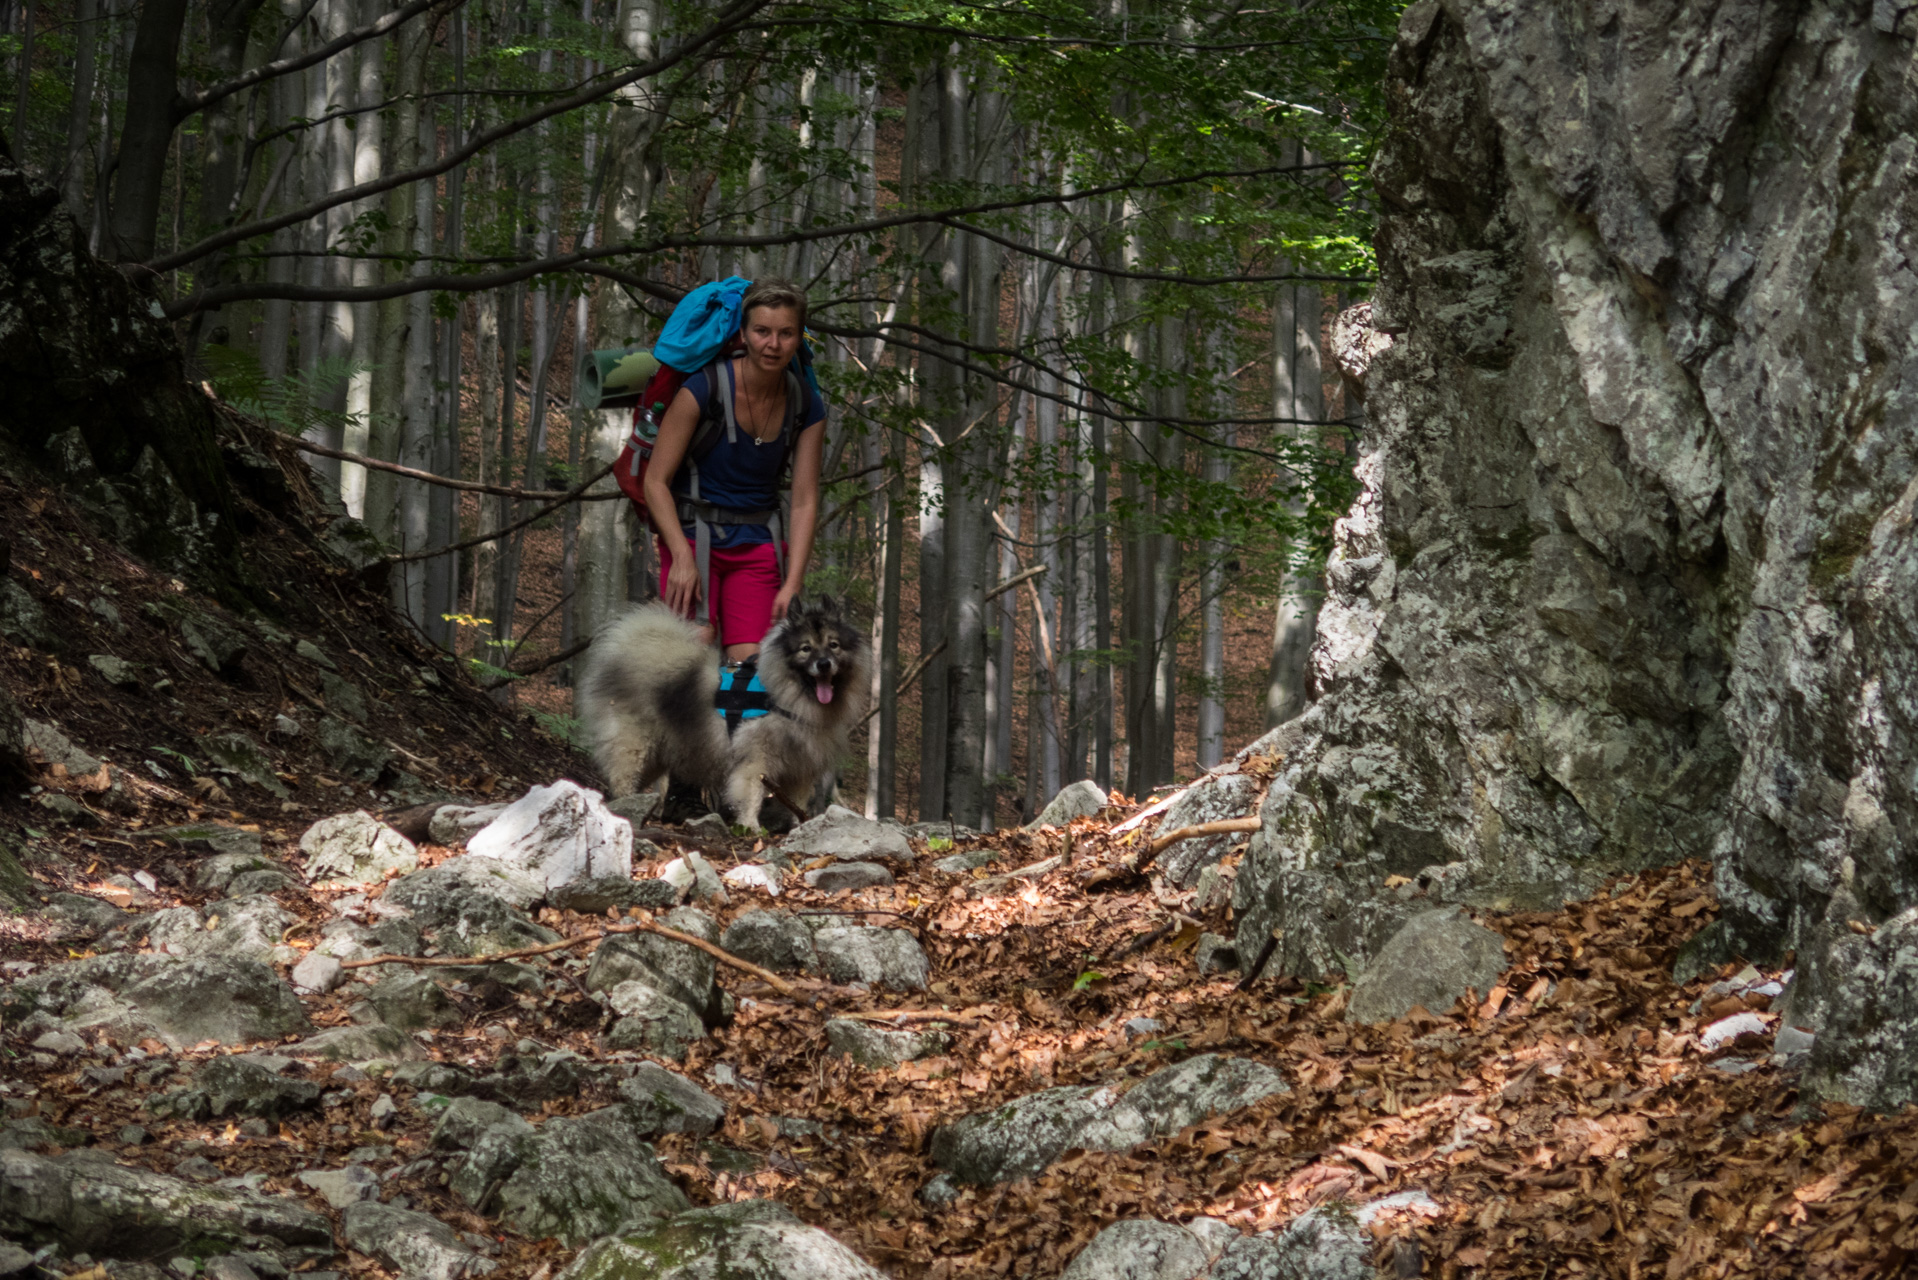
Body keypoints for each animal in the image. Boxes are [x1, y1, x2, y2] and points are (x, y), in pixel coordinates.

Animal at [567, 594, 870, 825]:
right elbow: (751, 795)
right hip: (635, 746)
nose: (824, 664)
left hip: (659, 754)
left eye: (833, 645)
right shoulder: (754, 761)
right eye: (806, 649)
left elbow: (797, 803)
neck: (786, 696)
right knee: (622, 778)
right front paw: (751, 827)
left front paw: (799, 825)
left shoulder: (801, 767)